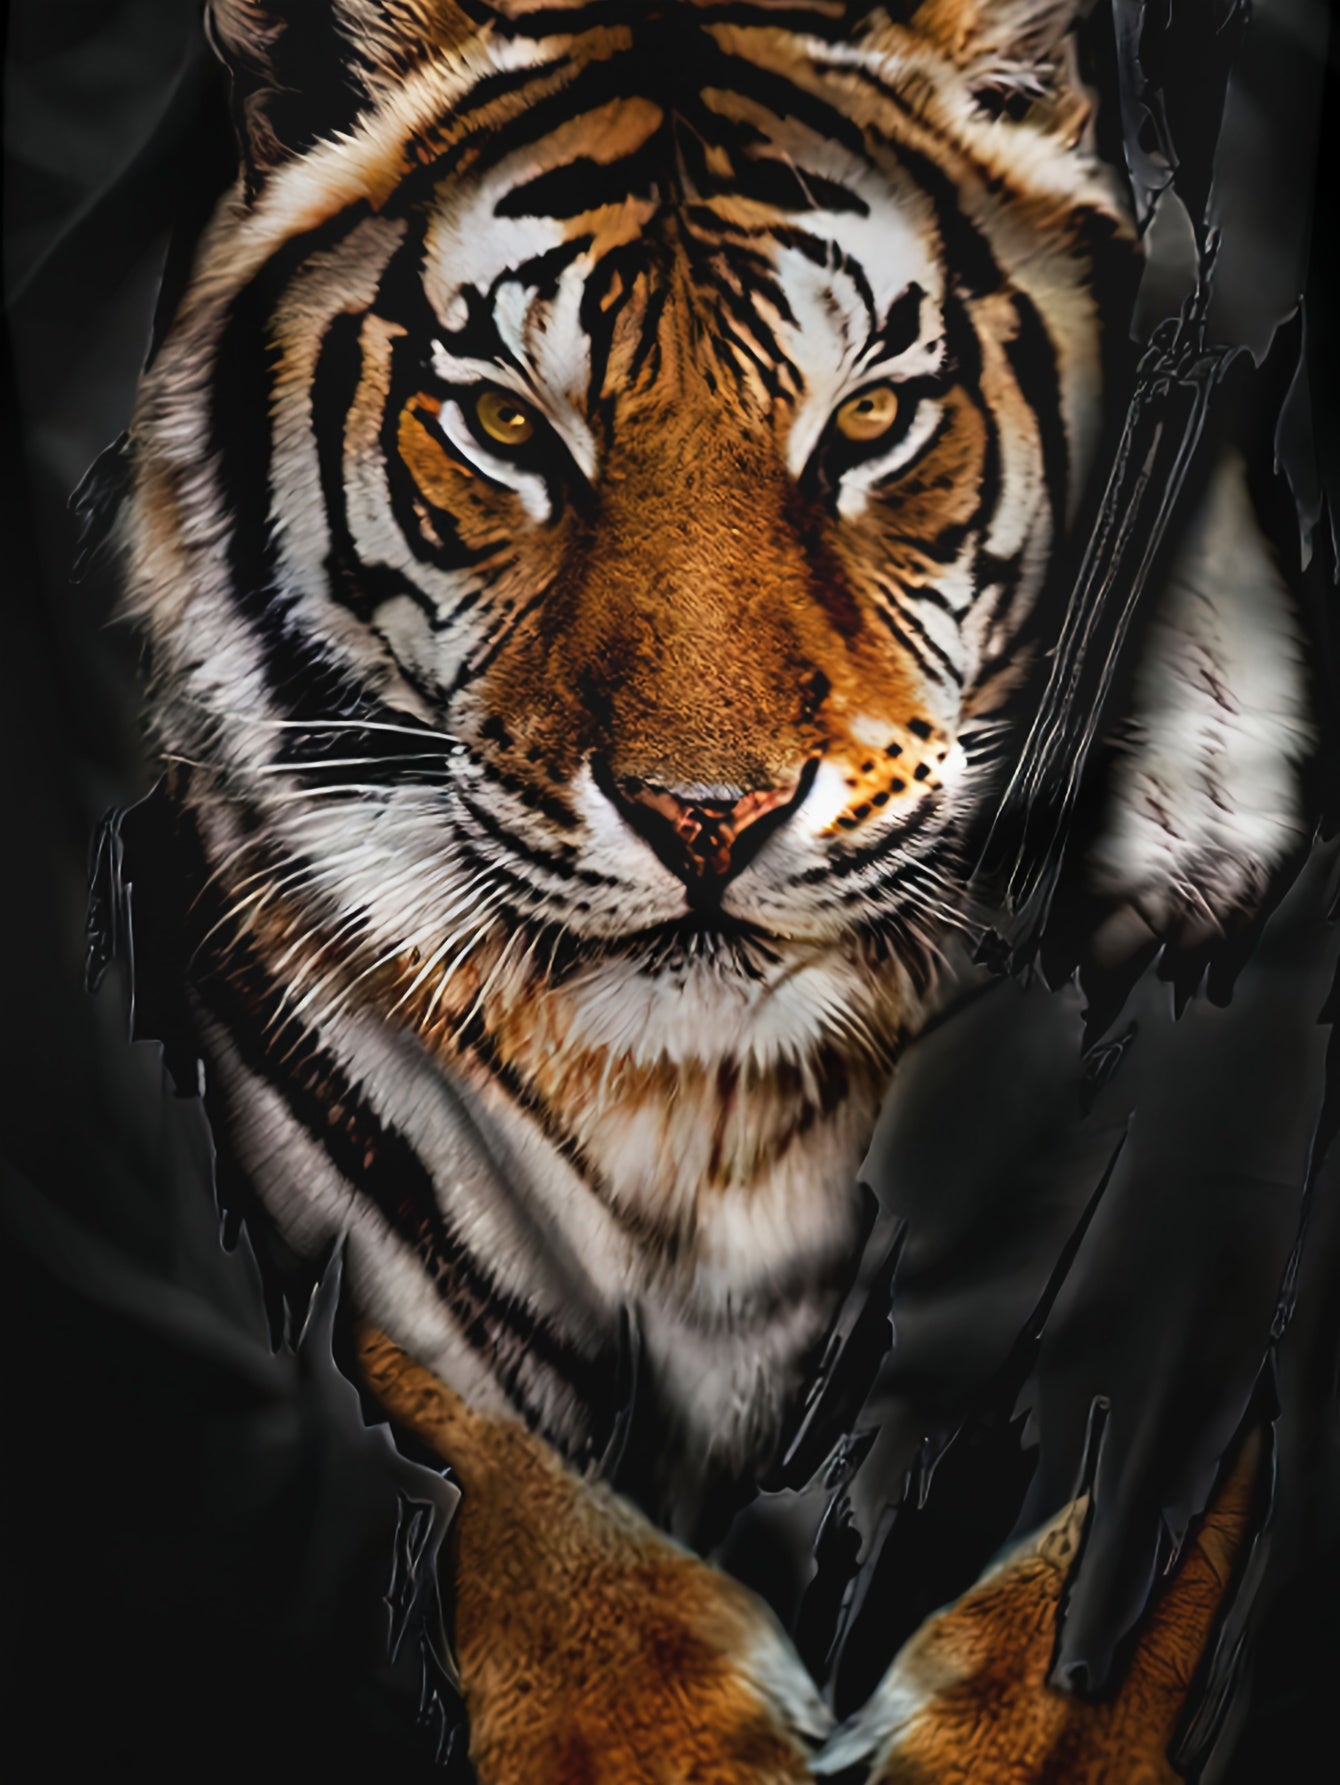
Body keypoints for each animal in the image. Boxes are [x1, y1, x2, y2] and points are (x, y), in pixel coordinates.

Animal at [116, 0, 1312, 1778]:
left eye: (872, 424)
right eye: (510, 429)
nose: (705, 814)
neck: (715, 1109)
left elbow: (1127, 1529)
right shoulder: (334, 1228)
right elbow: (480, 1461)